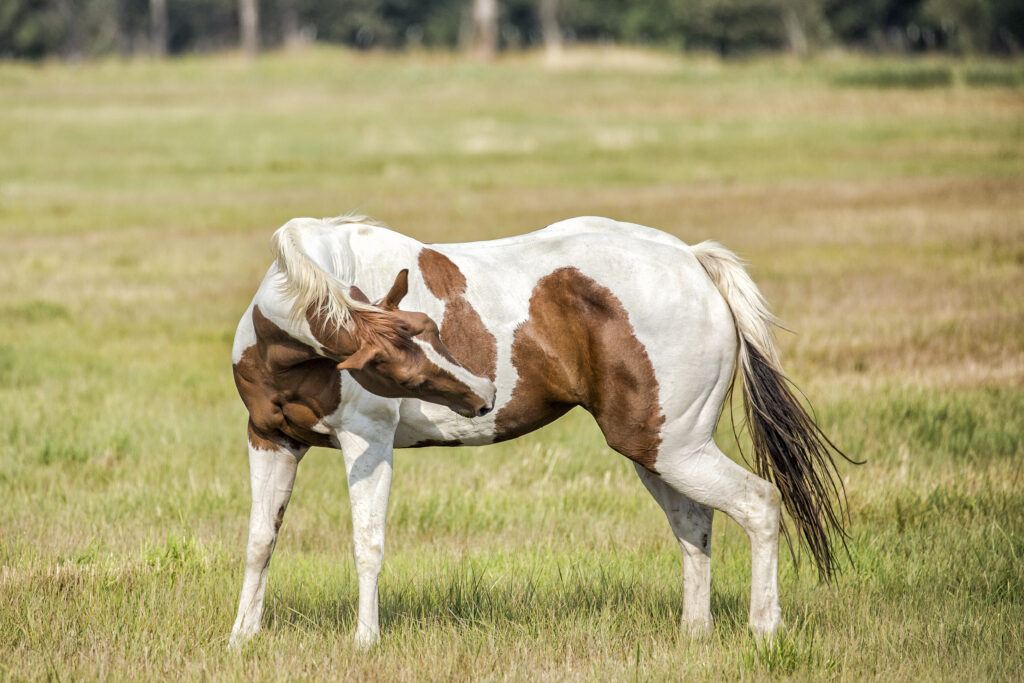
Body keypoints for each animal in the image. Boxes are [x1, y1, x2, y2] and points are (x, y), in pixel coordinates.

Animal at [228, 214, 851, 648]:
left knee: (759, 503)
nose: (482, 395)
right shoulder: (271, 439)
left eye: (431, 330)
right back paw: (694, 634)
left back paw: (765, 629)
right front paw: (242, 637)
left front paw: (365, 641)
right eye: (387, 360)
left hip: (676, 450)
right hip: (656, 452)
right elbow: (260, 542)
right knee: (694, 524)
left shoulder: (368, 443)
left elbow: (367, 543)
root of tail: (692, 261)